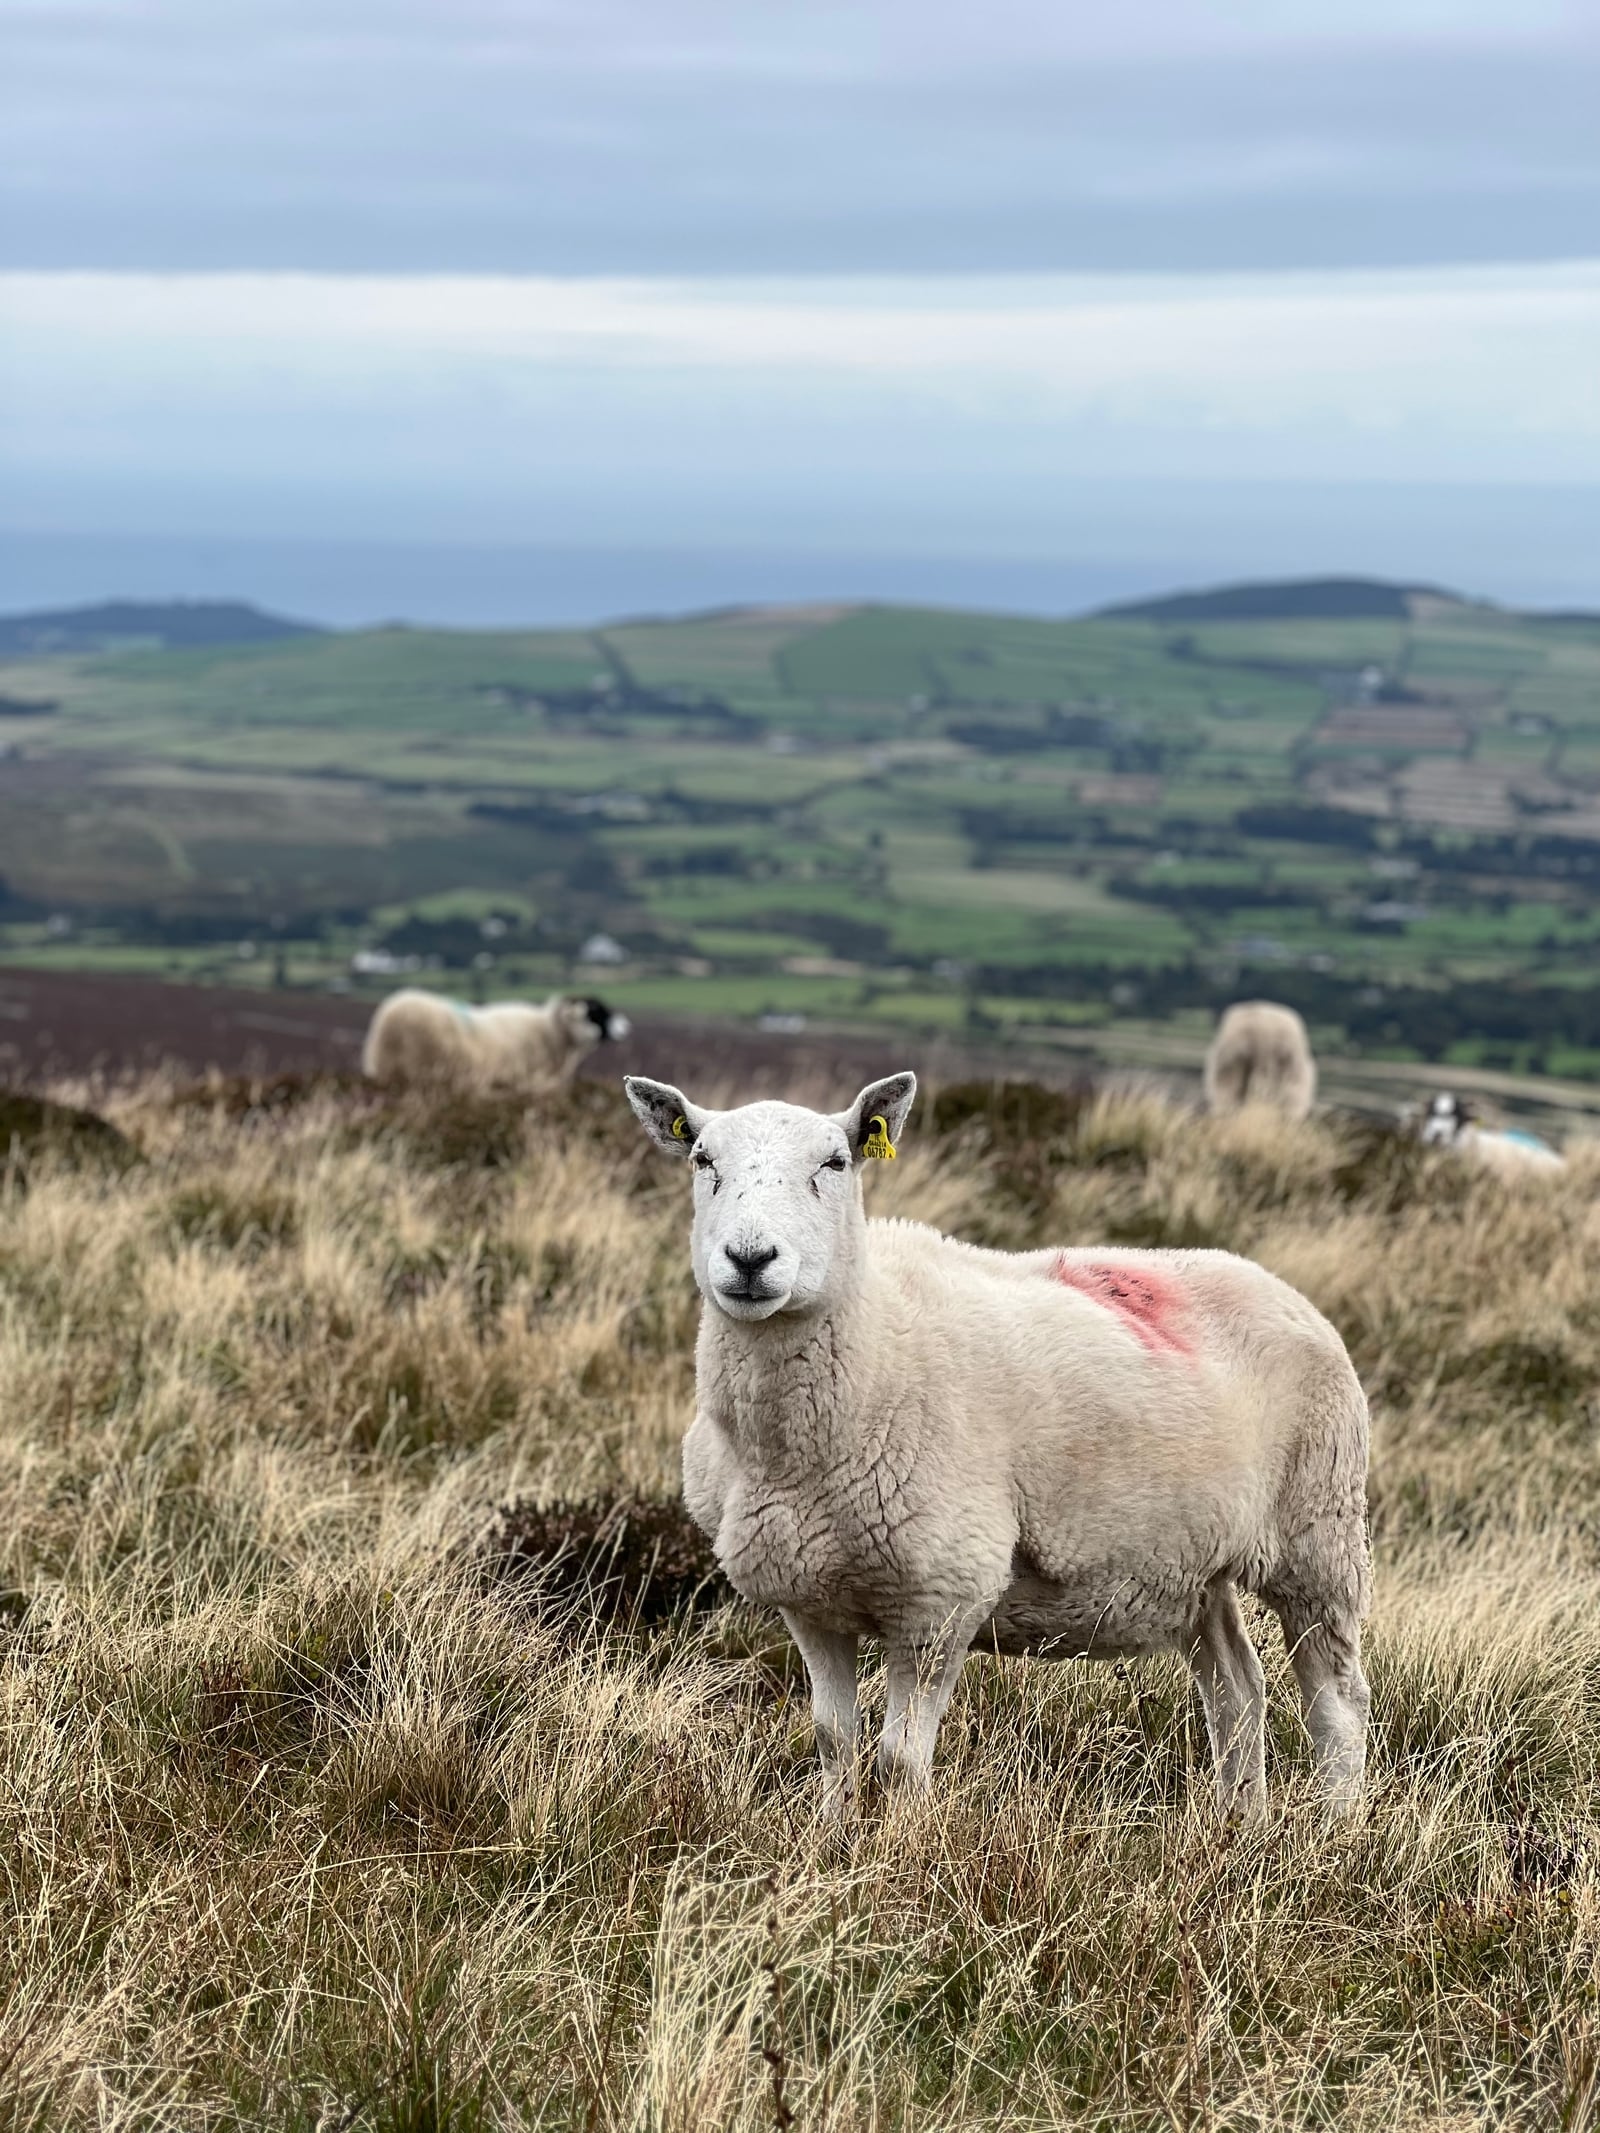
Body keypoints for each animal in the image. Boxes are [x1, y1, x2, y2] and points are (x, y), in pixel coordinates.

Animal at [627, 1066, 1382, 1817]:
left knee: (1336, 1700)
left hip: (1320, 1531)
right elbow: (833, 1744)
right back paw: (1240, 1823)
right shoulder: (808, 1597)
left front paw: (901, 1840)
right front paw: (830, 1835)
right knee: (1237, 1685)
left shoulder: (942, 1596)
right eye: (702, 1160)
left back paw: (1333, 1827)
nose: (750, 1259)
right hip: (1191, 1561)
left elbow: (899, 1762)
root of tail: (1276, 1285)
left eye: (835, 1162)